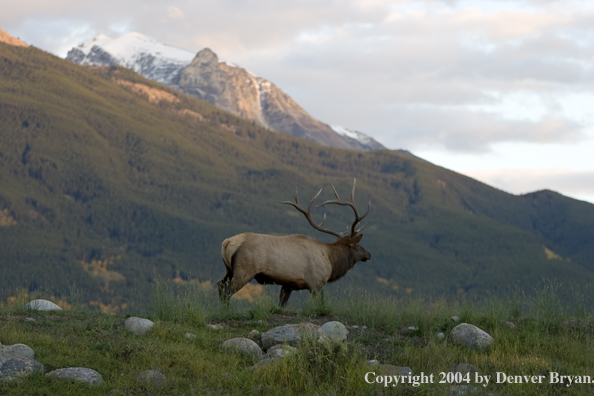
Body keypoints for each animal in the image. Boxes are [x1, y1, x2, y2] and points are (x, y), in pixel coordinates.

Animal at [215, 179, 368, 306]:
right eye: (357, 245)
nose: (368, 254)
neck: (331, 261)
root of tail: (227, 242)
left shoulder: (288, 285)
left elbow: (282, 304)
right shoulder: (317, 282)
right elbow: (319, 304)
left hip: (229, 269)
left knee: (220, 285)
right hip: (244, 270)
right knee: (227, 291)